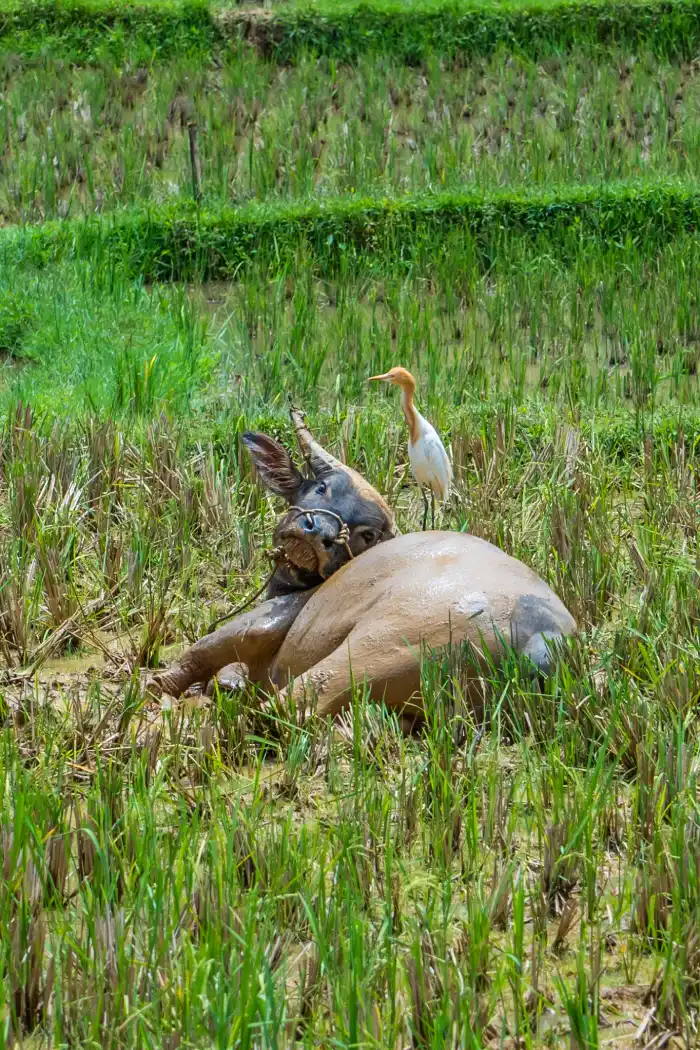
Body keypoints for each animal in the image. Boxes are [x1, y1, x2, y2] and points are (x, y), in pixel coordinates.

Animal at [153, 405, 575, 718]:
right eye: (321, 487)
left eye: (366, 533)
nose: (316, 532)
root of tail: (542, 638)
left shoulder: (266, 620)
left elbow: (201, 652)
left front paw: (159, 684)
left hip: (371, 649)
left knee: (286, 707)